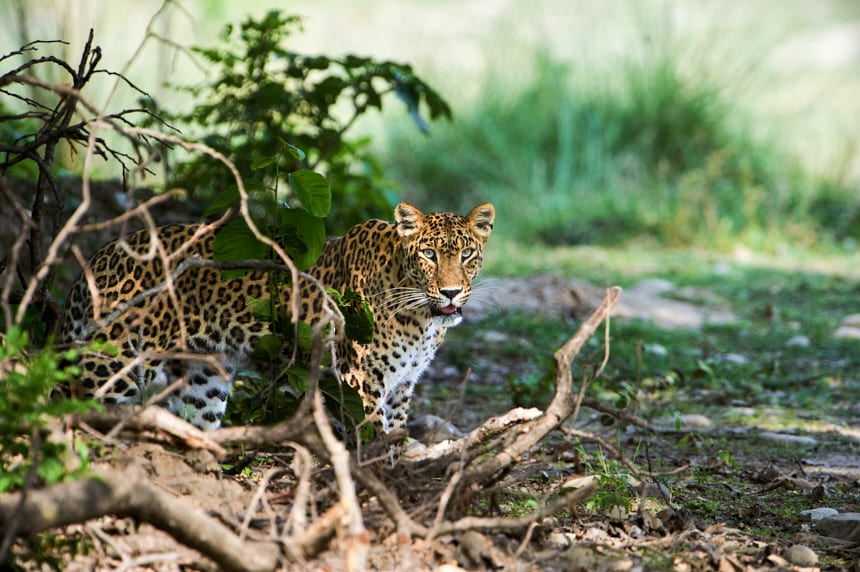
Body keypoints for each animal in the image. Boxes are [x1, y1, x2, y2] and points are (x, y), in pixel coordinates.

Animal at [61, 202, 495, 434]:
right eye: (429, 255)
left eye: (467, 255)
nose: (451, 292)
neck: (422, 318)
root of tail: (100, 257)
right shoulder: (361, 378)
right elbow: (372, 436)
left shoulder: (402, 384)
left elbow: (396, 437)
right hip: (115, 360)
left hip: (204, 376)